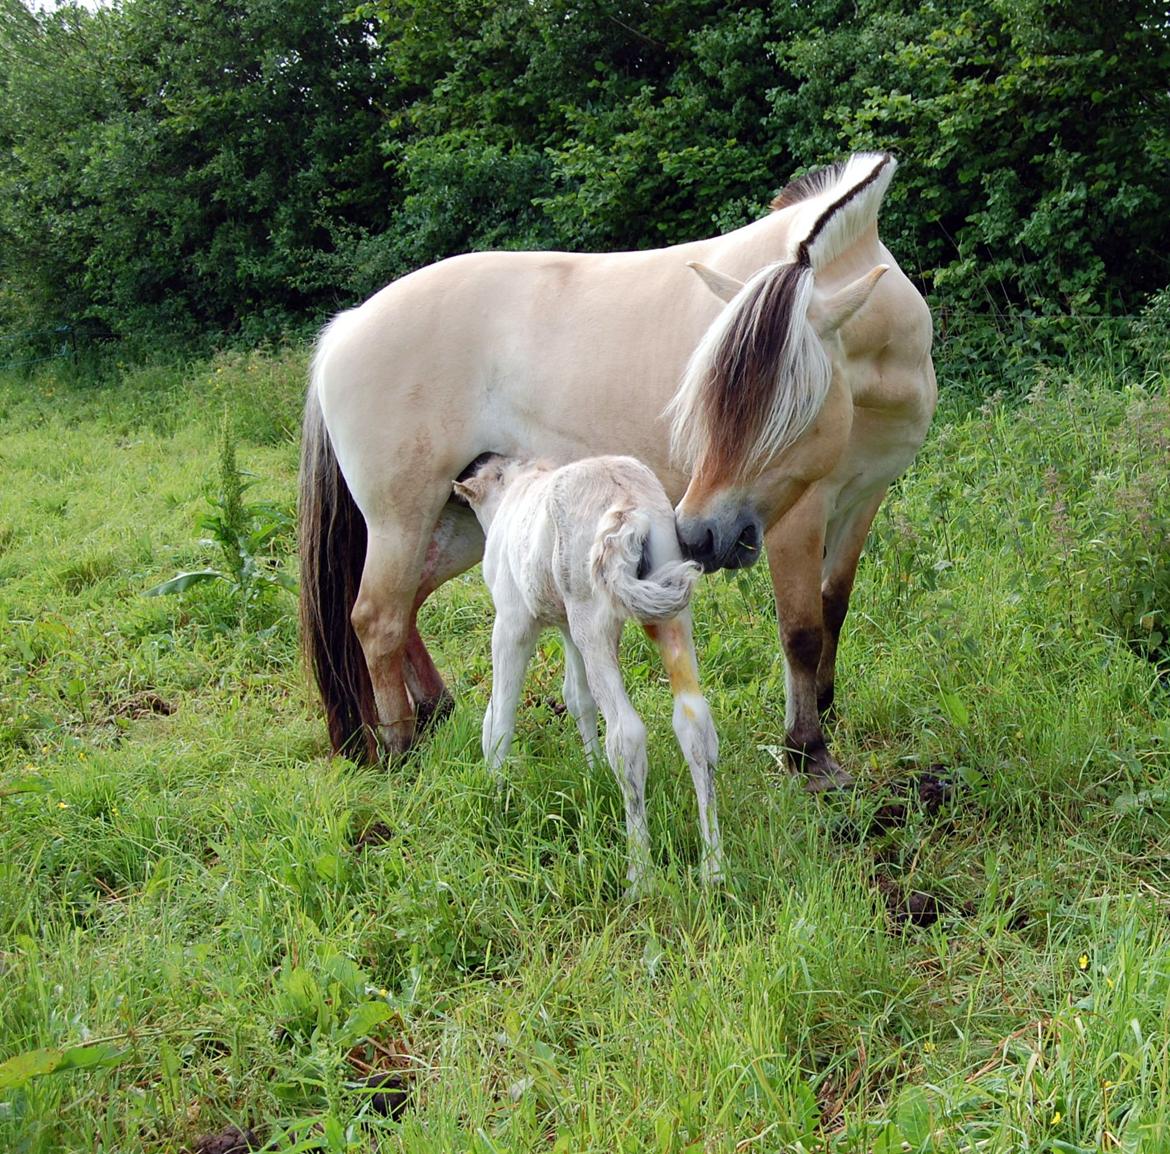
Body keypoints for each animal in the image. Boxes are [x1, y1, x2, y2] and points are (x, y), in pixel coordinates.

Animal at [304, 150, 940, 791]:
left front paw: (824, 710)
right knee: (377, 618)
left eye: (795, 404)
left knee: (405, 607)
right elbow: (802, 631)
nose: (699, 535)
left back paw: (436, 712)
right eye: (706, 399)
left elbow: (834, 607)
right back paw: (400, 748)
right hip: (402, 522)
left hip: (457, 523)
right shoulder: (795, 516)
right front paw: (808, 753)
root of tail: (346, 327)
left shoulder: (862, 497)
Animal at [453, 454, 720, 884]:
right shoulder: (566, 625)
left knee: (627, 735)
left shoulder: (512, 621)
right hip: (668, 612)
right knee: (694, 723)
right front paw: (593, 772)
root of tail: (630, 508)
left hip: (591, 620)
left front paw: (495, 788)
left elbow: (501, 712)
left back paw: (640, 875)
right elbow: (577, 696)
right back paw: (713, 868)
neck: (517, 485)